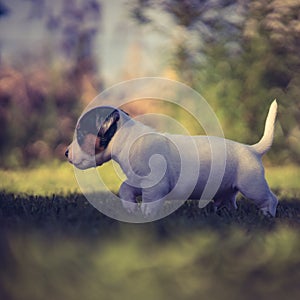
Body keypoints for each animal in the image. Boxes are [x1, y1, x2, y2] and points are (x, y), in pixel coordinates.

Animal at [66, 102, 278, 217]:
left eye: (80, 133)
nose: (66, 153)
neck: (127, 138)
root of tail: (252, 149)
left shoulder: (155, 185)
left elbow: (150, 202)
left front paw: (146, 215)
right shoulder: (138, 181)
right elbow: (125, 188)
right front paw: (130, 208)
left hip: (252, 186)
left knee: (270, 199)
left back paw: (267, 216)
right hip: (228, 192)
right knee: (230, 204)